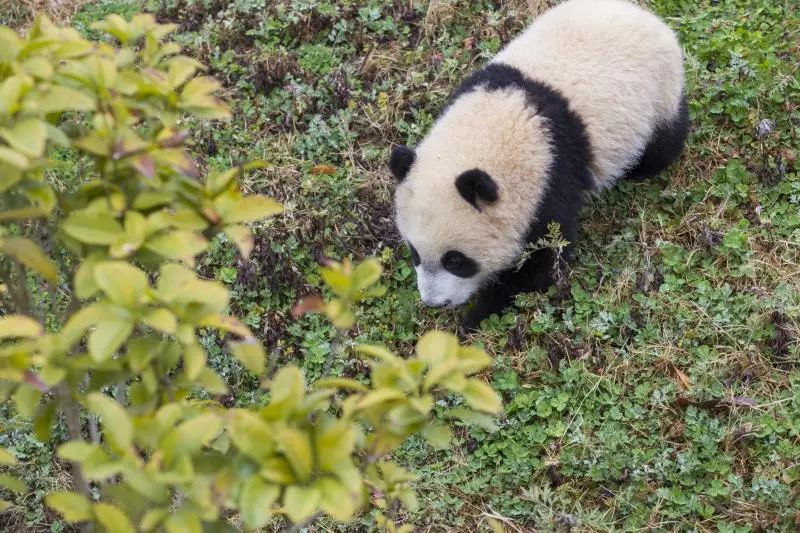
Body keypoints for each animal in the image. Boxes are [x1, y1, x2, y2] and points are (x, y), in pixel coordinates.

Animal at [388, 0, 688, 330]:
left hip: (660, 93)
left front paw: (475, 317)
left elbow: (543, 260)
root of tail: (646, 16)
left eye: (456, 260)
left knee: (664, 142)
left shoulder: (550, 176)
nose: (434, 303)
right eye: (414, 252)